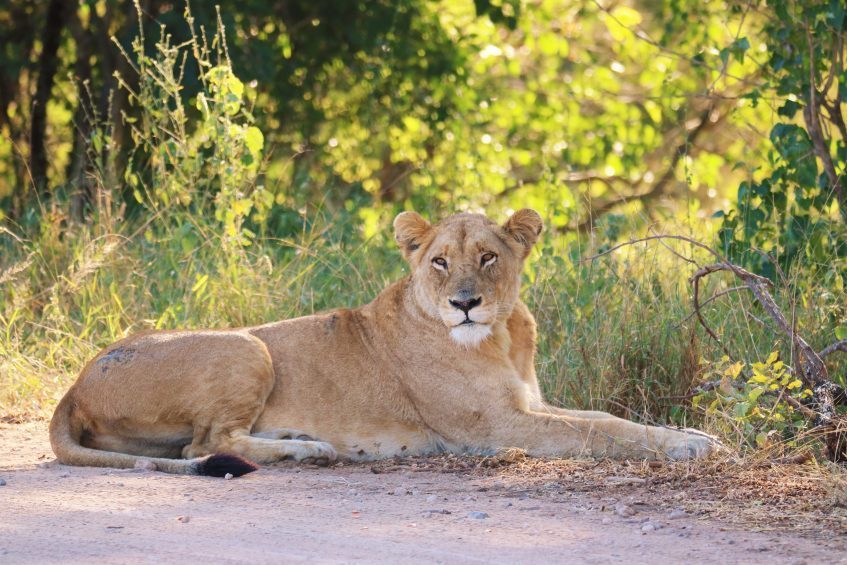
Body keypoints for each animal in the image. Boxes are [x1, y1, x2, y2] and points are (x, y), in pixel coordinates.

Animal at [49, 209, 720, 474]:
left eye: (487, 257)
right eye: (440, 262)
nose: (466, 303)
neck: (502, 336)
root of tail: (72, 387)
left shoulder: (531, 405)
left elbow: (606, 418)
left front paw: (689, 433)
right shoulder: (497, 428)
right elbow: (604, 434)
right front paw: (692, 446)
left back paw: (300, 442)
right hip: (244, 346)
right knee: (204, 445)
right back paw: (313, 451)